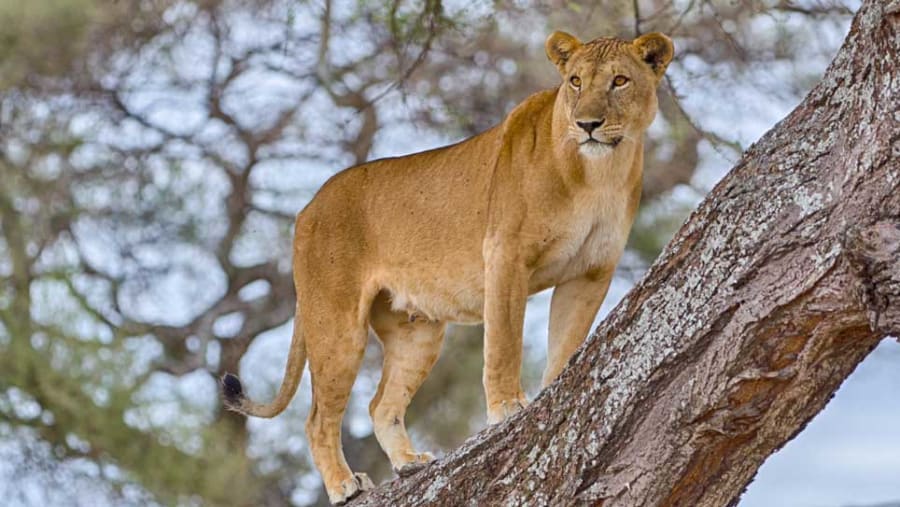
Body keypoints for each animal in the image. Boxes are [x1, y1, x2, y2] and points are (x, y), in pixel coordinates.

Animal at [221, 30, 674, 504]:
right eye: (575, 81)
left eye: (620, 81)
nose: (587, 124)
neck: (598, 174)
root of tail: (308, 208)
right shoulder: (506, 255)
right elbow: (504, 342)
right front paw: (507, 408)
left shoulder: (591, 272)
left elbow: (566, 342)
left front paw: (557, 392)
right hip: (336, 323)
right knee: (317, 420)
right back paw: (344, 485)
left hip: (416, 332)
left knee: (380, 405)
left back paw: (409, 463)